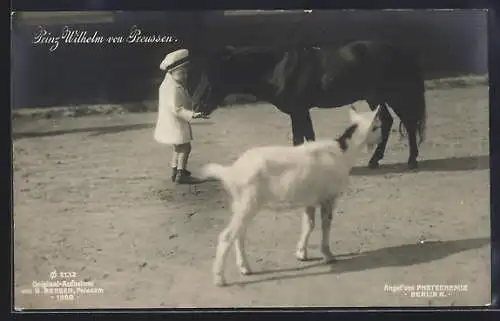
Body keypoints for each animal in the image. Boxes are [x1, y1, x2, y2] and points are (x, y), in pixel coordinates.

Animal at [186, 39, 428, 169]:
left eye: (212, 74)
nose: (195, 106)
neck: (278, 69)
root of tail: (400, 51)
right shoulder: (300, 111)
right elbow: (305, 137)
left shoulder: (298, 110)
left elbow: (300, 138)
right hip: (377, 98)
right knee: (388, 122)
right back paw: (375, 160)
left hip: (392, 96)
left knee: (407, 122)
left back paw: (411, 159)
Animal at [201, 105, 380, 284]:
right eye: (377, 126)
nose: (380, 139)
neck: (343, 152)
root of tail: (231, 171)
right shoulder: (328, 197)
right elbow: (326, 225)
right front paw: (328, 255)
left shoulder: (310, 200)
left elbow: (309, 224)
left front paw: (301, 253)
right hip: (249, 202)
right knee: (227, 236)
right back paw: (219, 278)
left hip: (239, 203)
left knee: (239, 233)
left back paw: (244, 268)